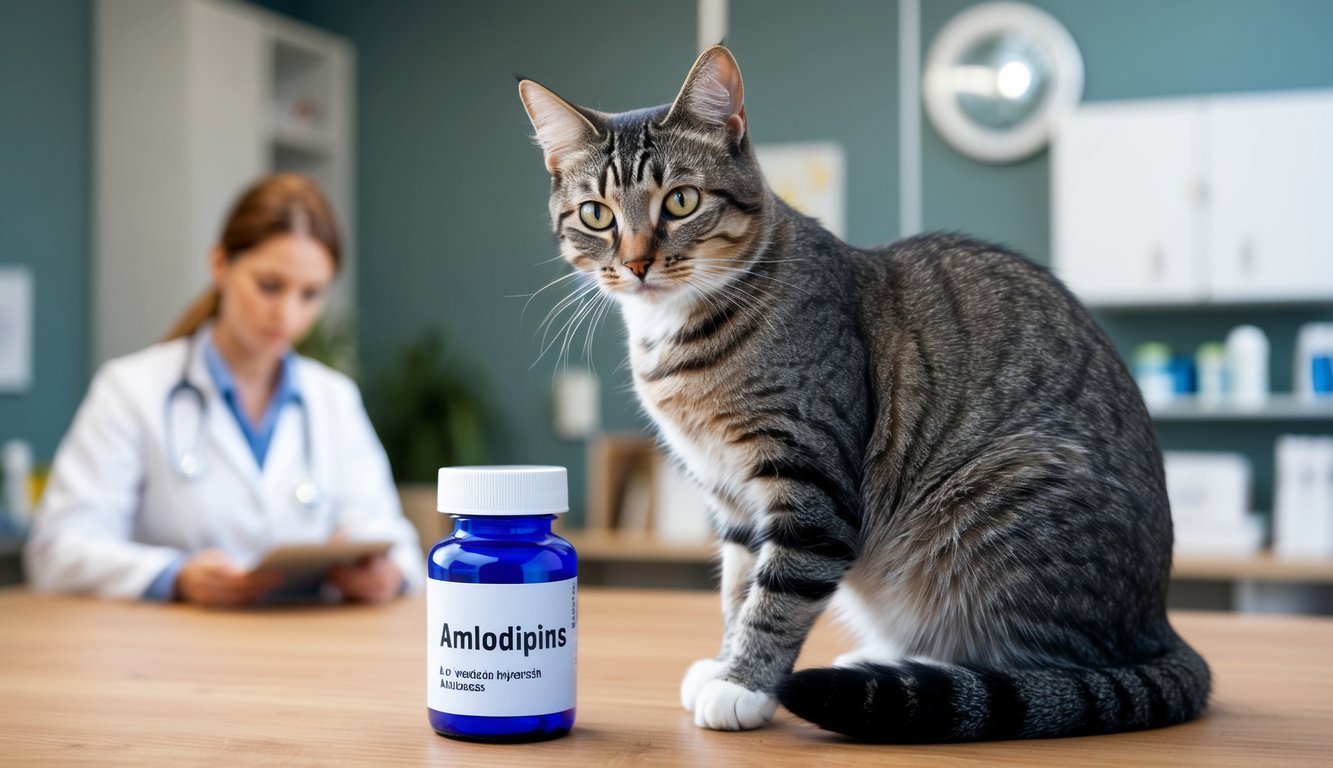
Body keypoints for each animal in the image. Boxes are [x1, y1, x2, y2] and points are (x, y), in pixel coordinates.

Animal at [517, 45, 1210, 741]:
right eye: (597, 214)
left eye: (681, 201)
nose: (636, 264)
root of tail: (1158, 624)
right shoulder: (731, 494)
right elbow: (739, 587)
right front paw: (725, 662)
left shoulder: (809, 478)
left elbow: (779, 595)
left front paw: (743, 685)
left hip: (1001, 502)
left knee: (1034, 669)